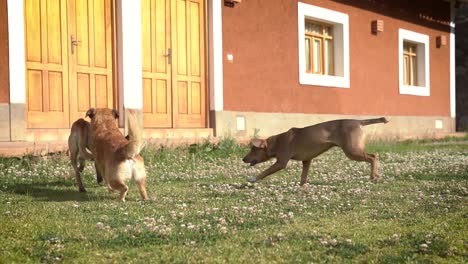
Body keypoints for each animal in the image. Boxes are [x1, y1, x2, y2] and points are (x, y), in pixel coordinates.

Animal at [243, 117, 390, 186]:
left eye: (253, 149)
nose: (243, 159)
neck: (277, 141)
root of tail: (358, 121)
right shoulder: (306, 160)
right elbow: (303, 177)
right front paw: (301, 186)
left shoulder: (281, 162)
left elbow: (265, 172)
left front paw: (252, 179)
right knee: (374, 156)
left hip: (352, 151)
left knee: (373, 157)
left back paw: (374, 176)